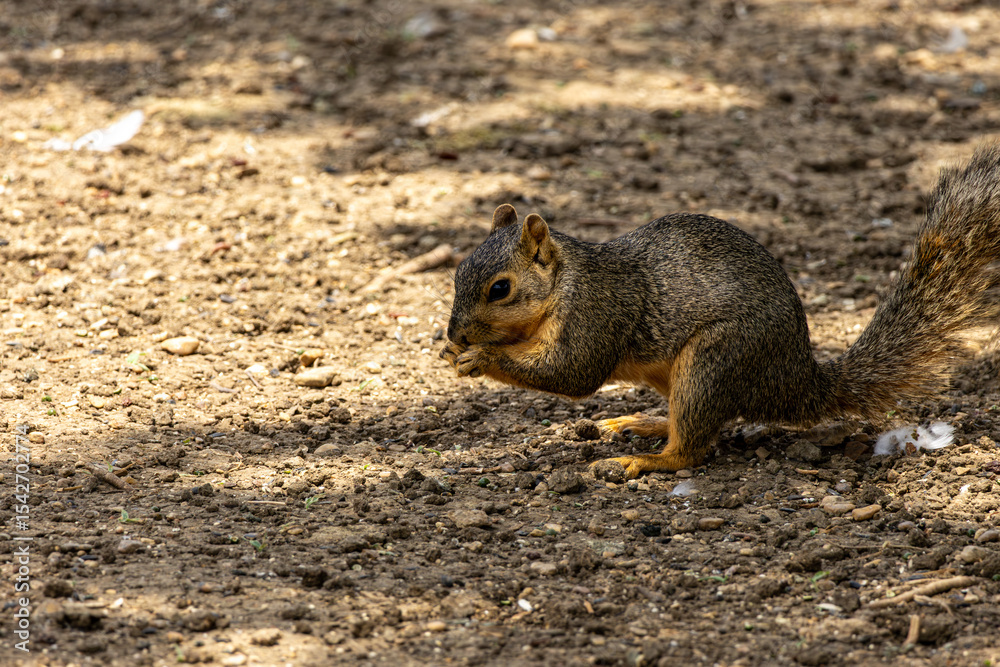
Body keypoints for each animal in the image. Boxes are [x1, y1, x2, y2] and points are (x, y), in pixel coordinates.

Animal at [441, 144, 1000, 478]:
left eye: (500, 289)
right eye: (458, 271)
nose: (457, 333)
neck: (564, 282)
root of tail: (795, 379)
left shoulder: (597, 311)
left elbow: (572, 373)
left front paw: (482, 358)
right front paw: (456, 353)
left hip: (715, 359)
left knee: (693, 448)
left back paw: (646, 460)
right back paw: (648, 424)